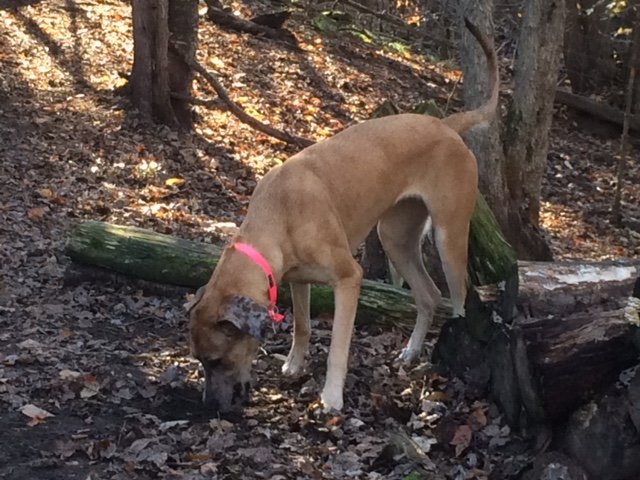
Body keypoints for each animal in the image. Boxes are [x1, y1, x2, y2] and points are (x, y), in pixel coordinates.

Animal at [187, 19, 498, 413]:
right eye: (200, 361)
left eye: (216, 360)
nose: (209, 406)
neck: (278, 214)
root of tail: (447, 125)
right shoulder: (296, 279)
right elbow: (302, 325)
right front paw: (294, 364)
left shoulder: (349, 278)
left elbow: (338, 345)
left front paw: (331, 396)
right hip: (395, 236)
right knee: (428, 295)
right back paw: (412, 352)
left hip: (448, 235)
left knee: (457, 297)